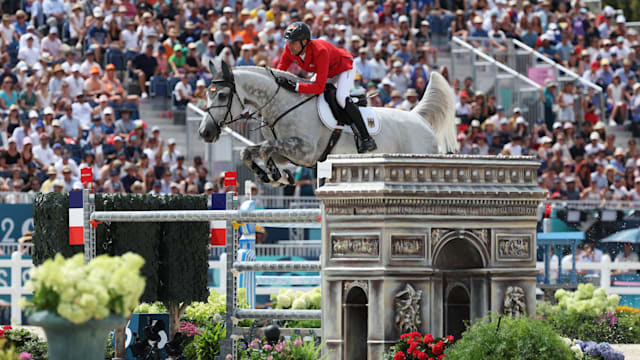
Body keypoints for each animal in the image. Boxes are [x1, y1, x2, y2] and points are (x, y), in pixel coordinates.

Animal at [199, 59, 456, 186]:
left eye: (222, 95)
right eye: (206, 95)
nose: (205, 133)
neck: (283, 104)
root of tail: (418, 117)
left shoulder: (305, 151)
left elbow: (264, 148)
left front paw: (274, 176)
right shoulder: (287, 152)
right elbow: (252, 151)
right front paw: (274, 176)